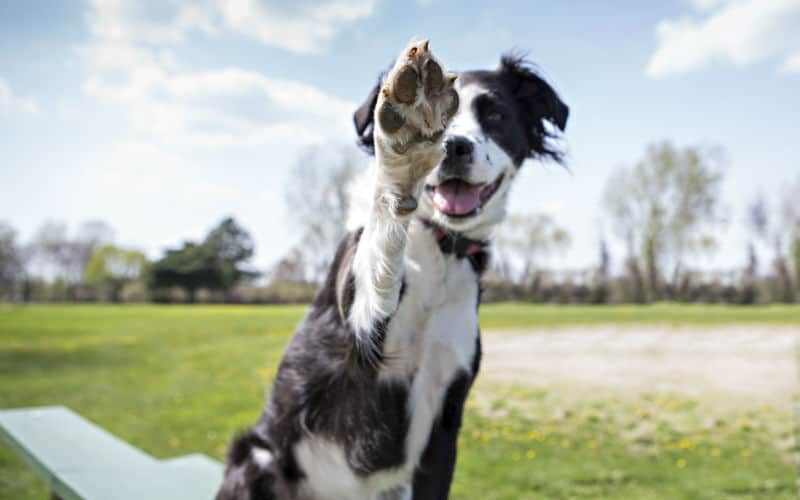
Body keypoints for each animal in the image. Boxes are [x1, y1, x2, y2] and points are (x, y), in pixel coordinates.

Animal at [217, 40, 568, 500]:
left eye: (496, 115)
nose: (454, 146)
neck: (439, 250)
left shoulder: (444, 426)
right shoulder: (362, 334)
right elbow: (381, 247)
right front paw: (406, 146)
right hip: (257, 458)